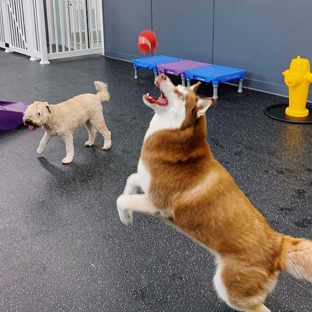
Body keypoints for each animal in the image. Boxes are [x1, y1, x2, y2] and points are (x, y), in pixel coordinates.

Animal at [117, 74, 312, 310]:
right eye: (177, 86)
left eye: (180, 94)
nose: (162, 75)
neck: (175, 140)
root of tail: (278, 246)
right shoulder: (145, 183)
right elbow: (129, 181)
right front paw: (127, 212)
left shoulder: (156, 204)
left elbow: (121, 199)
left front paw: (125, 217)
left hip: (227, 288)